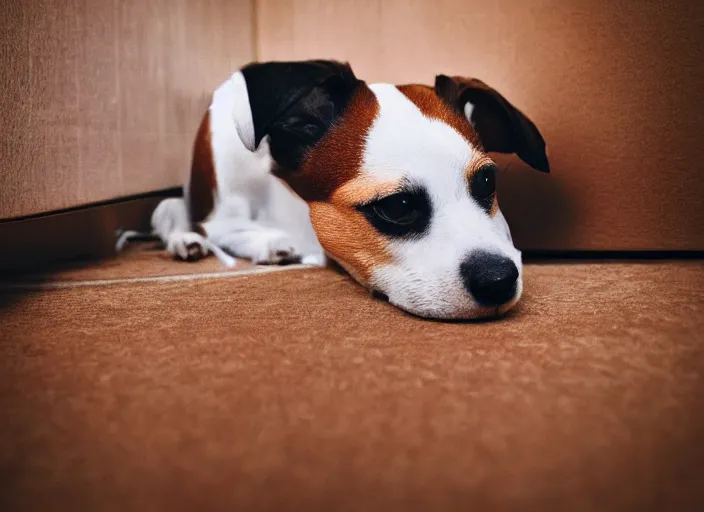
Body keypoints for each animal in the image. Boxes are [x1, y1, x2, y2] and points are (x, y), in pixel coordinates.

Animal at [118, 60, 552, 320]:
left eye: (487, 182)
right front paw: (266, 241)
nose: (499, 280)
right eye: (397, 206)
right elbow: (221, 227)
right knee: (178, 217)